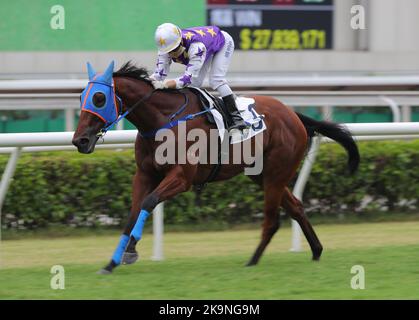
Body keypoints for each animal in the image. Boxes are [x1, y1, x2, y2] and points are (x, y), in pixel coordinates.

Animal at [72, 61, 360, 274]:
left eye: (100, 98)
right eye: (82, 97)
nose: (79, 140)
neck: (162, 121)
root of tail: (294, 115)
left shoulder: (182, 178)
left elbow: (149, 202)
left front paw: (130, 252)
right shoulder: (144, 175)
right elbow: (132, 213)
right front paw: (111, 262)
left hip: (276, 174)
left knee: (272, 220)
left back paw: (252, 261)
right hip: (261, 175)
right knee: (297, 207)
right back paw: (316, 251)